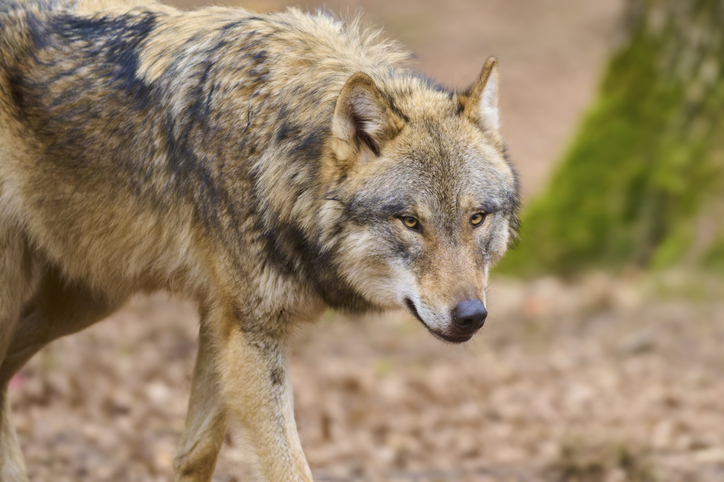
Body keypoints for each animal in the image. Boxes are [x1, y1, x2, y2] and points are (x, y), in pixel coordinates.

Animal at [0, 0, 519, 479]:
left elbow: (196, 452)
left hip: (88, 299)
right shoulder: (250, 336)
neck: (277, 147)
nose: (471, 316)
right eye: (410, 222)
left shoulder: (224, 322)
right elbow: (288, 468)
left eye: (476, 218)